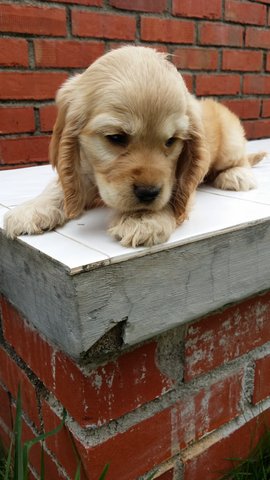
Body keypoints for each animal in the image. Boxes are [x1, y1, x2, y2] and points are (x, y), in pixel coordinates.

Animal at [3, 45, 266, 248]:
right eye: (116, 137)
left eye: (171, 141)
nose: (148, 193)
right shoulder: (82, 167)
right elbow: (59, 186)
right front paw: (32, 209)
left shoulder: (178, 179)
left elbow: (174, 193)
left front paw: (143, 219)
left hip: (230, 142)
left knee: (241, 159)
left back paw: (236, 176)